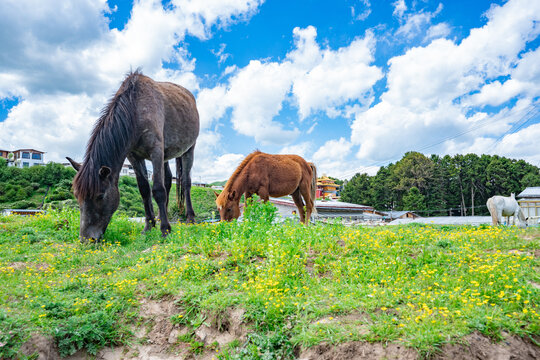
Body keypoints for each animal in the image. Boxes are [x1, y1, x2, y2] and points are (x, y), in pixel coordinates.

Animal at [66, 69, 199, 242]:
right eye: (77, 196)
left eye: (100, 196)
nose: (86, 240)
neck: (135, 110)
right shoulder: (134, 157)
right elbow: (144, 189)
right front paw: (149, 226)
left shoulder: (156, 151)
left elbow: (158, 189)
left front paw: (165, 229)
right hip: (166, 155)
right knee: (169, 180)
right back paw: (161, 216)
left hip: (189, 150)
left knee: (186, 182)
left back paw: (190, 218)